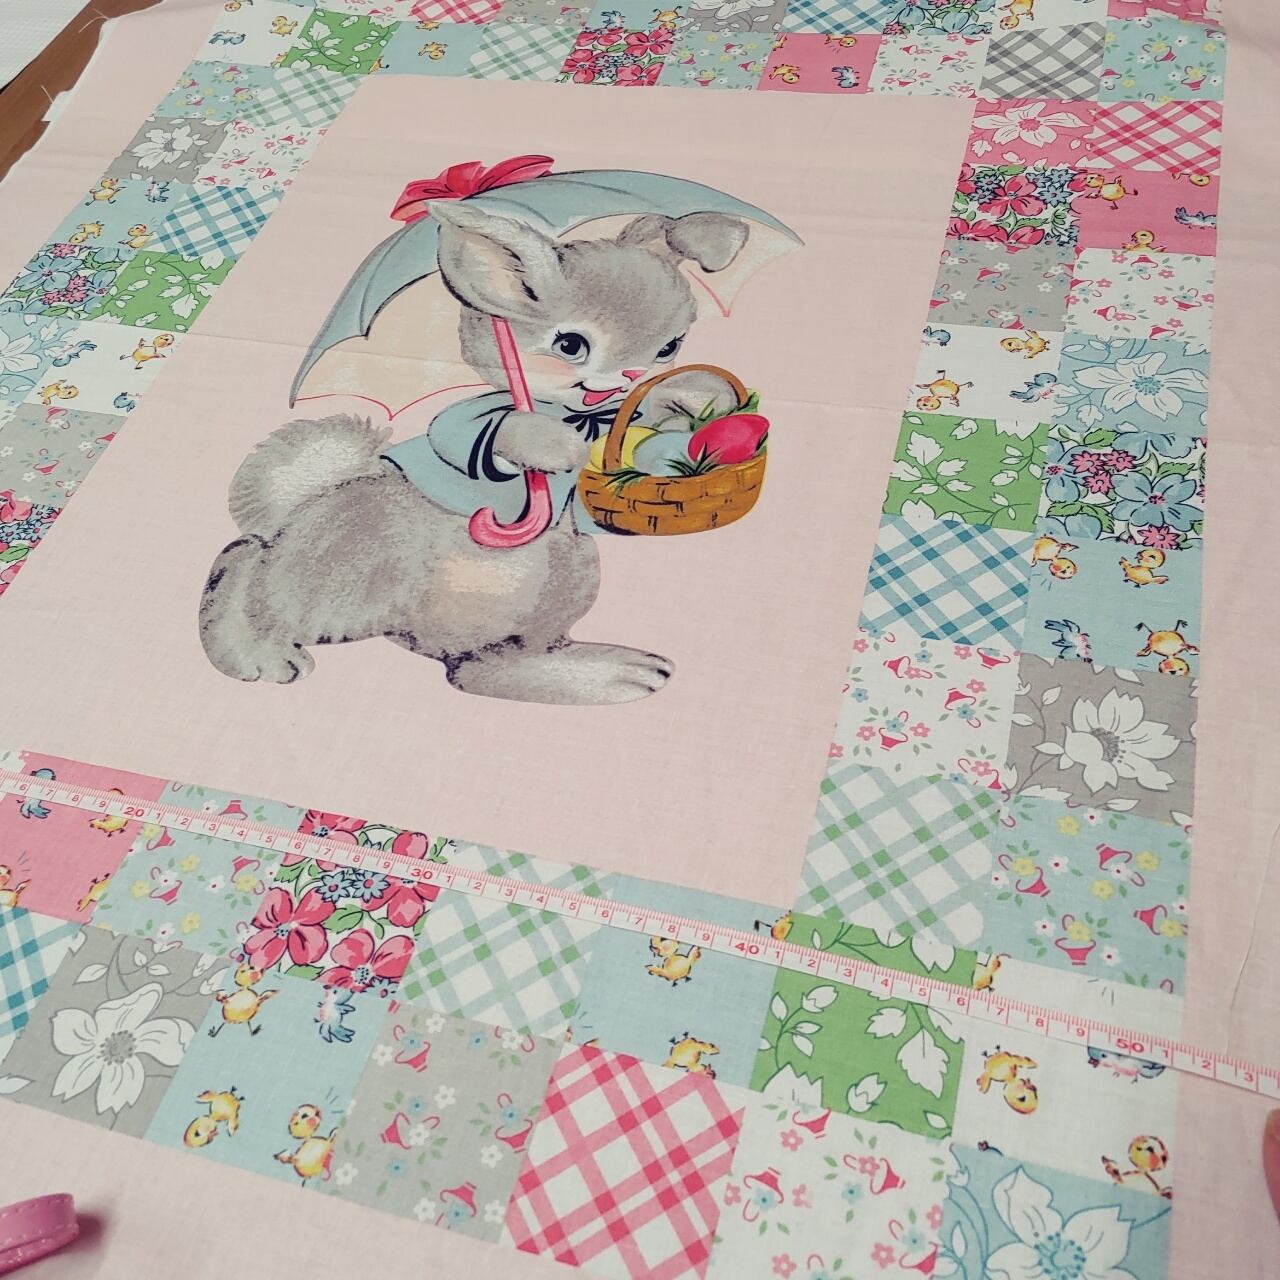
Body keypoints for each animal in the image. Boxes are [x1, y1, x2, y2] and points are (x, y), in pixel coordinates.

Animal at [197, 202, 747, 705]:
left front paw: (703, 396)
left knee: (478, 668)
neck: (578, 412)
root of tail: (300, 508)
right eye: (570, 345)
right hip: (350, 574)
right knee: (249, 563)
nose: (631, 376)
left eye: (668, 347)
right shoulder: (475, 424)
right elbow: (485, 437)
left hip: (562, 572)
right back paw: (256, 655)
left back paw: (609, 674)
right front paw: (557, 446)